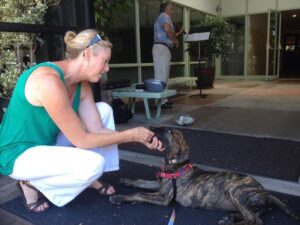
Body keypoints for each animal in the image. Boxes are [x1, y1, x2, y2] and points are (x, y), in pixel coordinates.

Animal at [109, 127, 298, 224]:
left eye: (169, 132)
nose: (150, 128)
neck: (173, 164)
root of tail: (265, 192)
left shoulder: (164, 198)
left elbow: (140, 193)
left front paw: (119, 198)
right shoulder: (160, 185)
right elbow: (141, 182)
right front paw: (126, 181)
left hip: (236, 191)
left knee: (254, 220)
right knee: (253, 214)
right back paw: (229, 218)